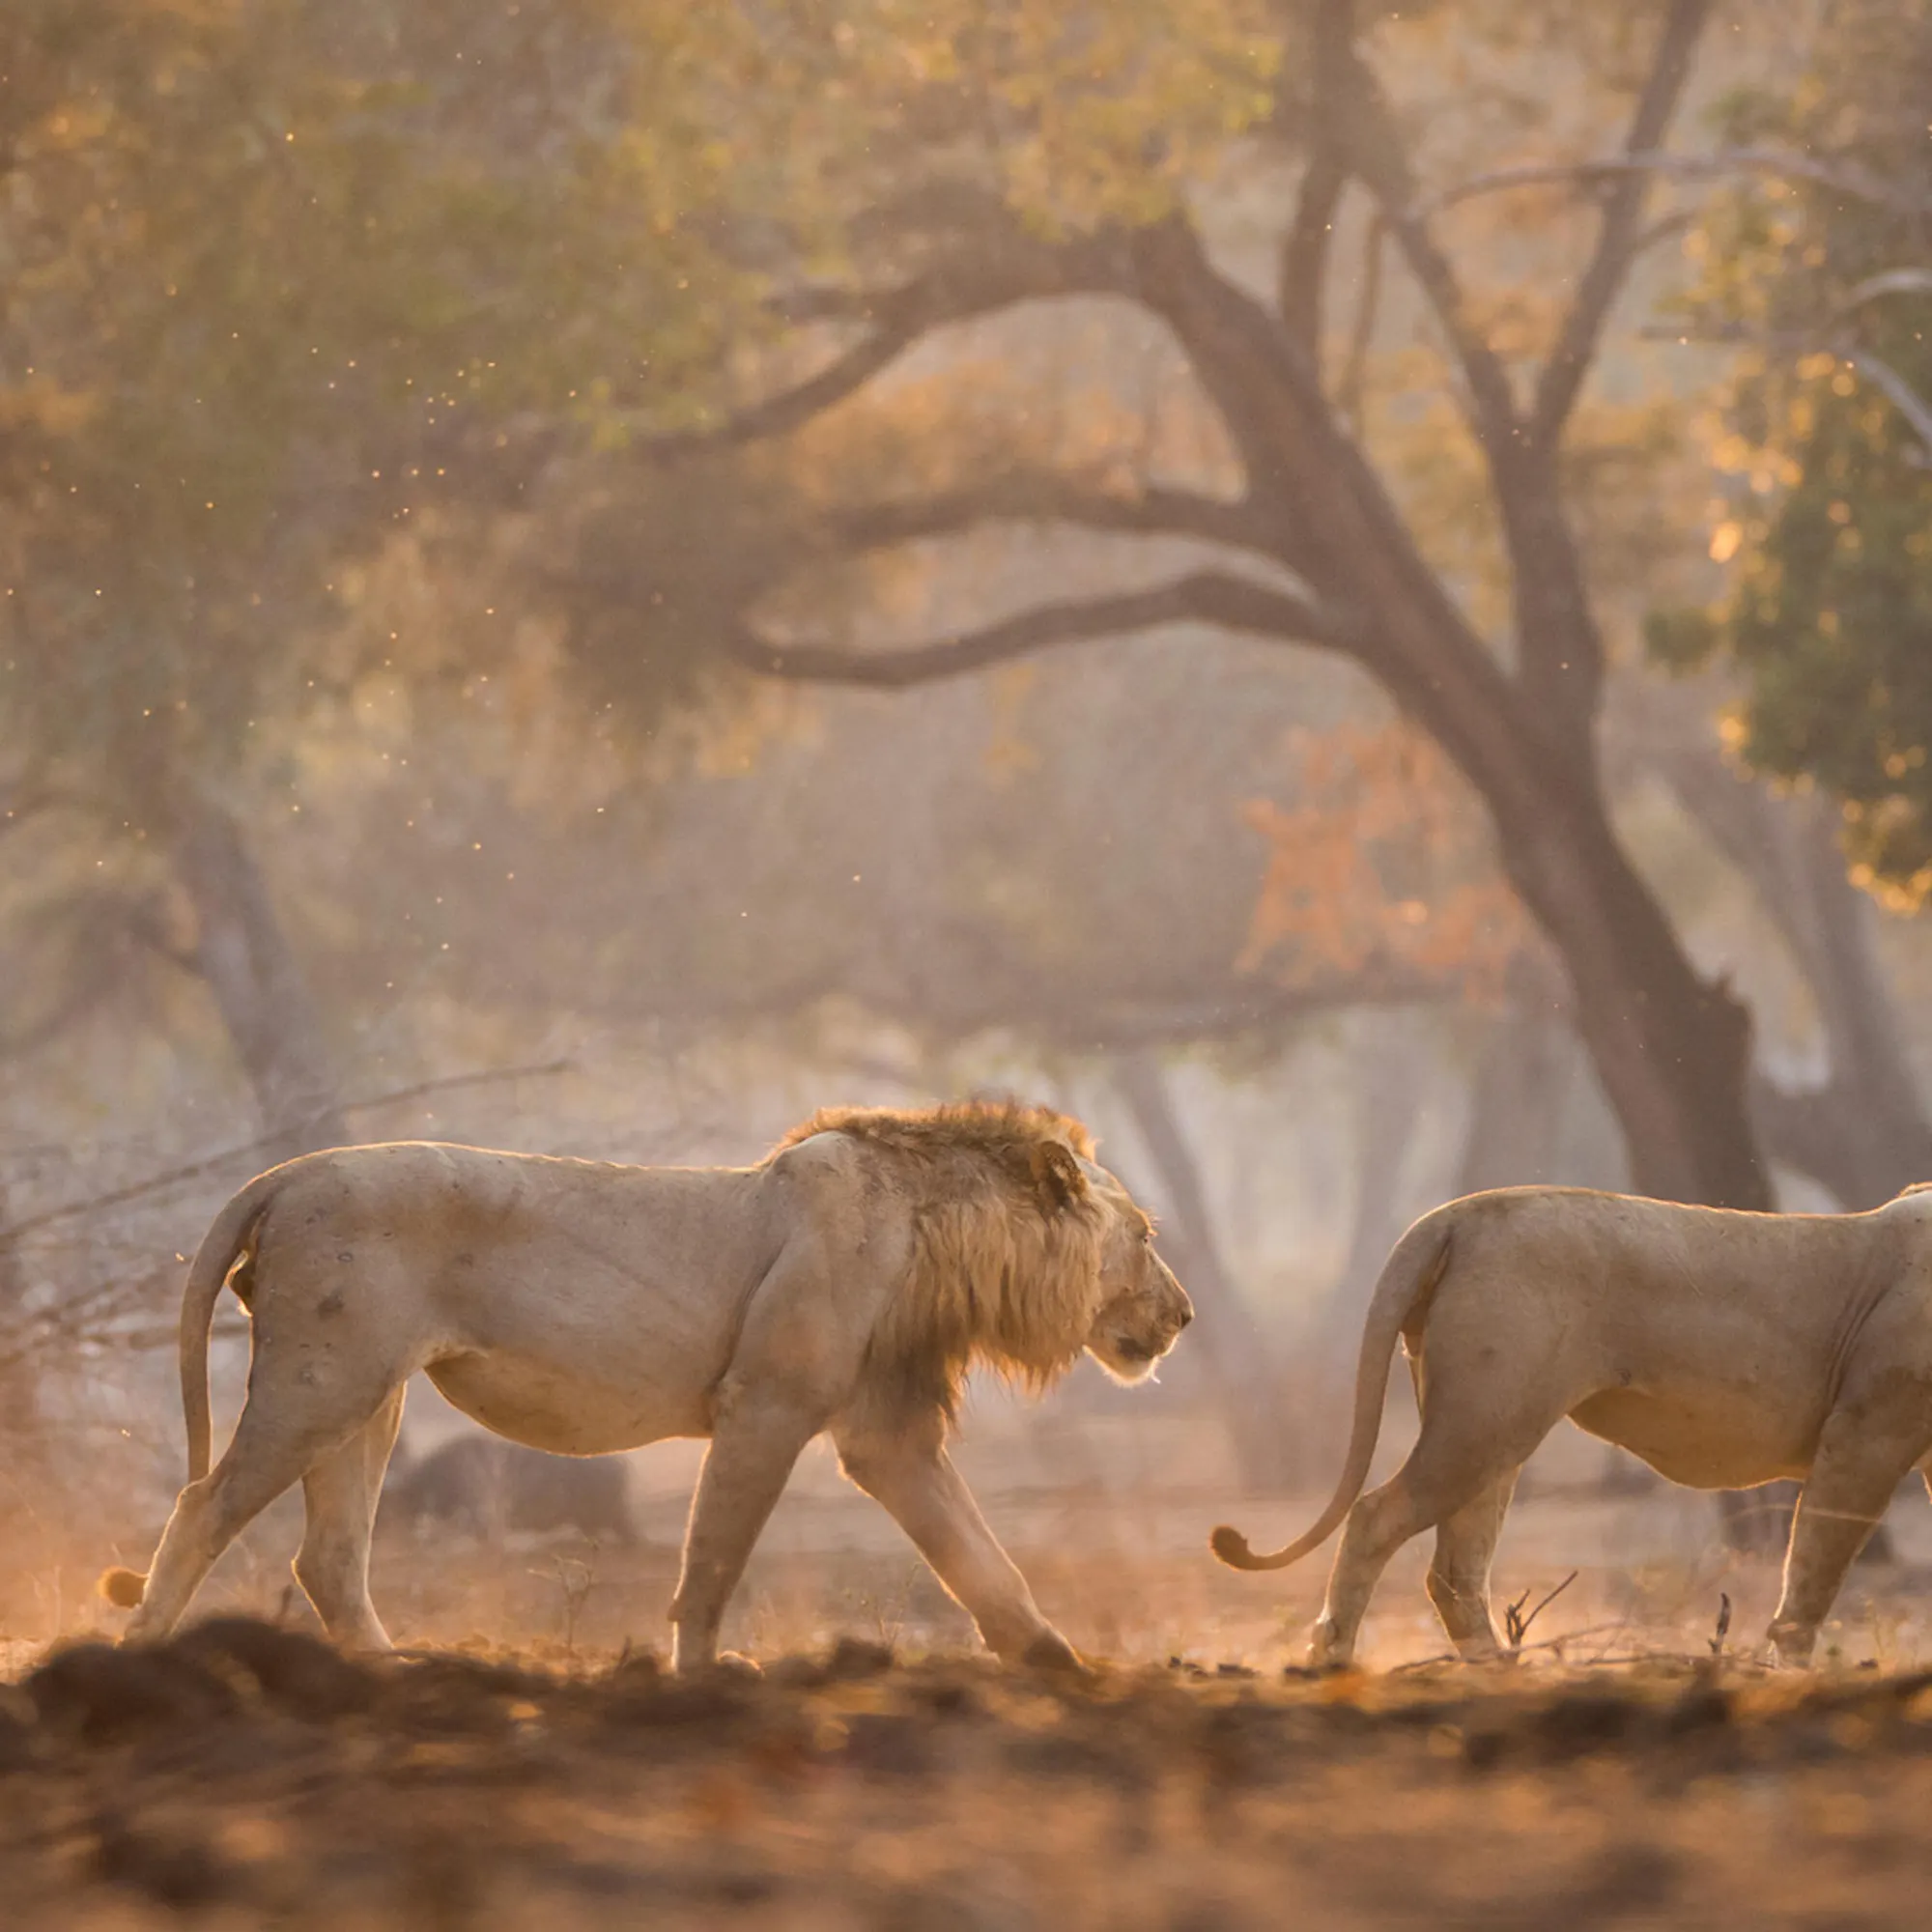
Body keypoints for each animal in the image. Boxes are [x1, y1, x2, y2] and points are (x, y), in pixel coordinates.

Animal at [100, 1100, 1191, 1671]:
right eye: (1144, 1235)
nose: (1183, 1316)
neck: (940, 1239)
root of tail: (282, 1173)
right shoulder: (766, 1403)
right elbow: (713, 1557)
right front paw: (703, 1673)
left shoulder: (888, 1433)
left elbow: (981, 1558)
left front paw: (1062, 1666)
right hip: (322, 1379)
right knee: (203, 1505)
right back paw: (139, 1653)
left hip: (370, 1395)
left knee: (328, 1557)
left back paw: (391, 1673)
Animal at [1212, 1184, 1932, 1669]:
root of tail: (1459, 1212)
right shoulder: (1867, 1433)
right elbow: (1814, 1569)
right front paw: (1790, 1675)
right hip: (1482, 1421)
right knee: (1374, 1517)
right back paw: (1331, 1660)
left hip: (1490, 1428)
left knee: (1454, 1569)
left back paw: (1499, 1674)